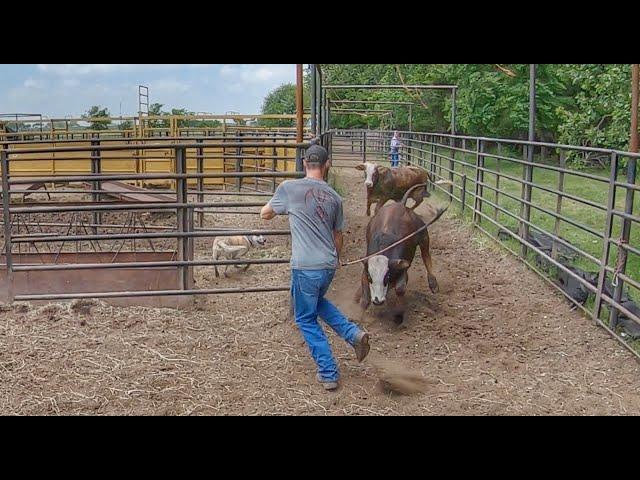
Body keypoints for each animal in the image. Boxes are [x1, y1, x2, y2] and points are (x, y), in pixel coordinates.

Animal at [356, 186, 450, 324]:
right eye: (370, 277)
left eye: (386, 277)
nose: (378, 301)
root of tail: (401, 205)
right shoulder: (366, 268)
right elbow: (365, 297)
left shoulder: (402, 267)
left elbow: (400, 289)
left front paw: (398, 315)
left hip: (424, 236)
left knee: (426, 257)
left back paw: (433, 284)